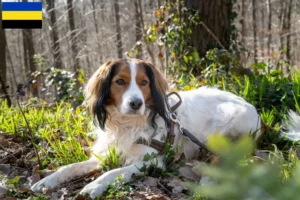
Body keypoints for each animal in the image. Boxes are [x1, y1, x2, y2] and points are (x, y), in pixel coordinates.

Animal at [29, 58, 300, 198]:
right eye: (120, 81)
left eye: (144, 82)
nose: (136, 103)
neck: (128, 124)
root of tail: (258, 115)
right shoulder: (106, 153)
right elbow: (70, 167)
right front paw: (47, 181)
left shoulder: (151, 161)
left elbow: (113, 172)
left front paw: (93, 186)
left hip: (223, 125)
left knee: (222, 159)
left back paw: (207, 183)